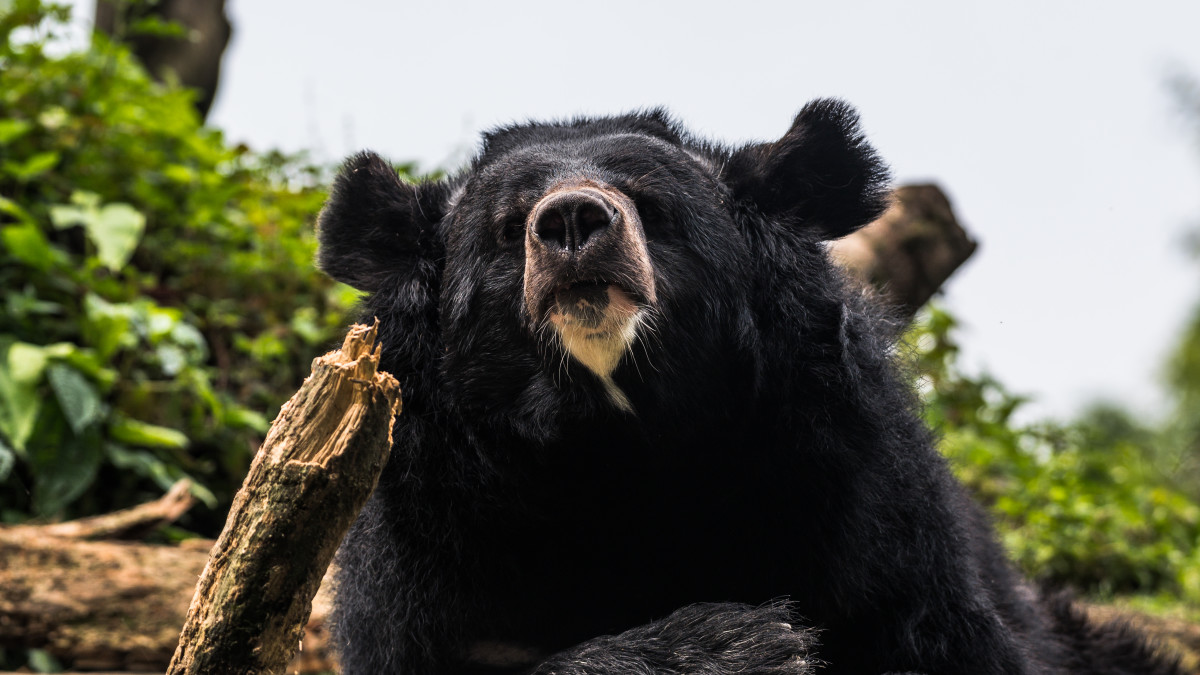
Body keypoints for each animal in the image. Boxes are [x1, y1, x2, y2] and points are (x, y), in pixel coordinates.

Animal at [316, 99, 1183, 675]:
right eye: (507, 226)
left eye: (653, 206)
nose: (571, 223)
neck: (618, 442)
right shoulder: (434, 529)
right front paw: (738, 642)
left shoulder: (855, 484)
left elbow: (931, 633)